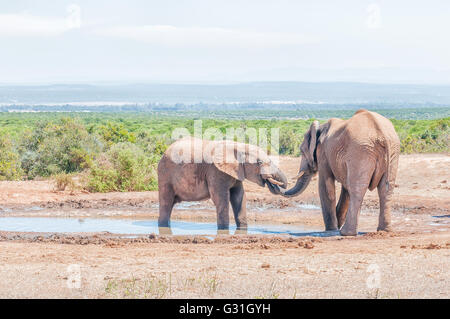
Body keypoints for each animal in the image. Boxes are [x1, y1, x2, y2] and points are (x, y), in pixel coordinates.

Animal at [156, 138, 286, 230]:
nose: (272, 182)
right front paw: (224, 230)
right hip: (165, 175)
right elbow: (221, 198)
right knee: (166, 202)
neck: (239, 146)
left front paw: (242, 229)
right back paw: (163, 227)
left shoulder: (236, 172)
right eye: (259, 162)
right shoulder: (216, 172)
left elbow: (239, 197)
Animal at [280, 110, 400, 238]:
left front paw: (331, 229)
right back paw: (384, 230)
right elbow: (345, 188)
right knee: (386, 190)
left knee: (357, 190)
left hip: (360, 151)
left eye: (302, 151)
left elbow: (326, 186)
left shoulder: (323, 153)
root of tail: (381, 134)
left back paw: (346, 233)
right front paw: (336, 224)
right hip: (391, 151)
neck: (320, 127)